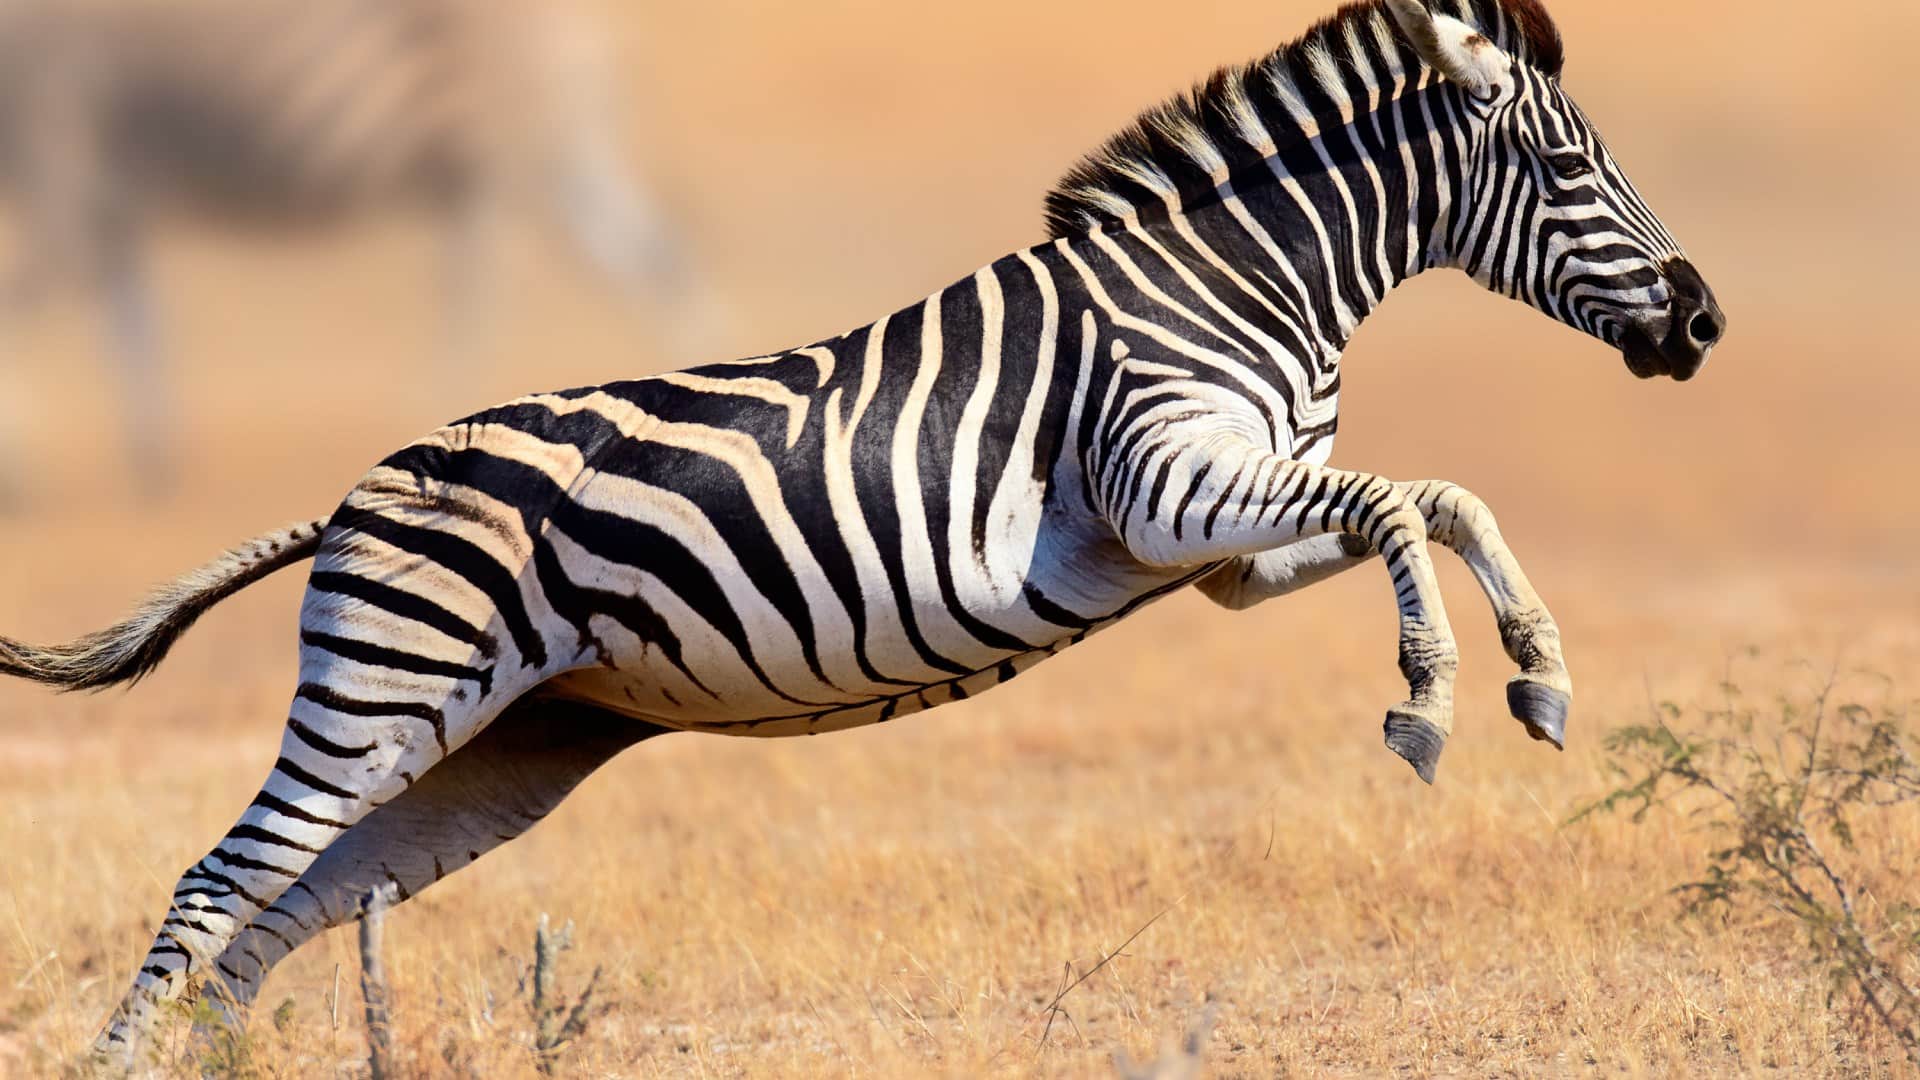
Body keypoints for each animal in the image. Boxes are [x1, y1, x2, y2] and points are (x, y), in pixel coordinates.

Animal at [0, 0, 682, 488]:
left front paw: (21, 470)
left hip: (518, 163)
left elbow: (30, 309)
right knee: (656, 264)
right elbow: (134, 330)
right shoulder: (112, 205)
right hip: (539, 171)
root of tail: (583, 32)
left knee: (488, 294)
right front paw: (154, 461)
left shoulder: (65, 173)